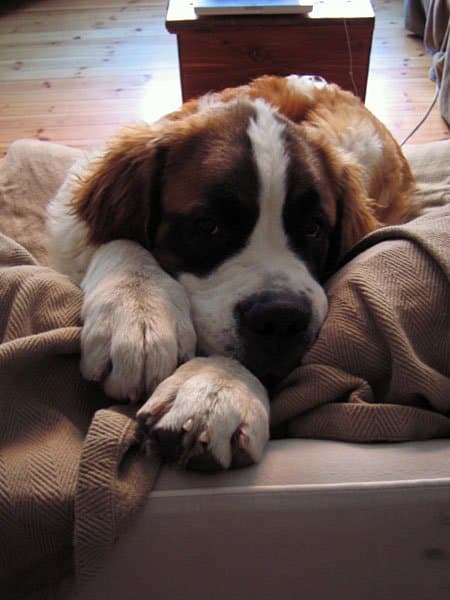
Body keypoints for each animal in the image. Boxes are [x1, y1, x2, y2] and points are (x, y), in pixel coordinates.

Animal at [45, 74, 414, 468]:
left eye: (313, 228)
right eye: (209, 226)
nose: (281, 319)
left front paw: (214, 387)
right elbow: (121, 240)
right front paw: (138, 312)